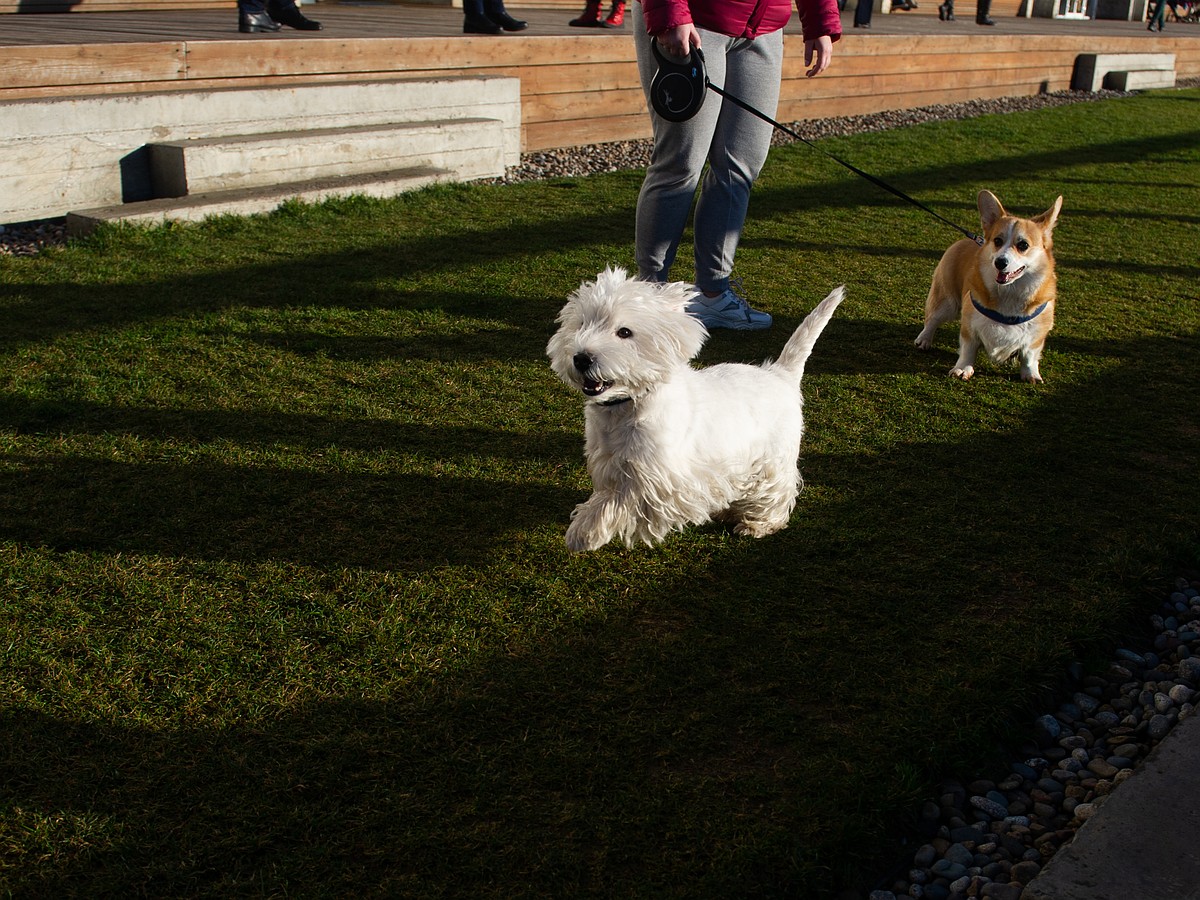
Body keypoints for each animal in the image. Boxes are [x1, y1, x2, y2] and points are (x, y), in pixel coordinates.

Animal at [547, 266, 844, 549]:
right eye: (581, 324)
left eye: (624, 332)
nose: (581, 358)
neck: (627, 405)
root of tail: (780, 373)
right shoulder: (610, 462)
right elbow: (607, 494)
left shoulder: (658, 477)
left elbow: (618, 501)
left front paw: (583, 533)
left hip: (774, 457)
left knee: (777, 490)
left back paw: (758, 524)